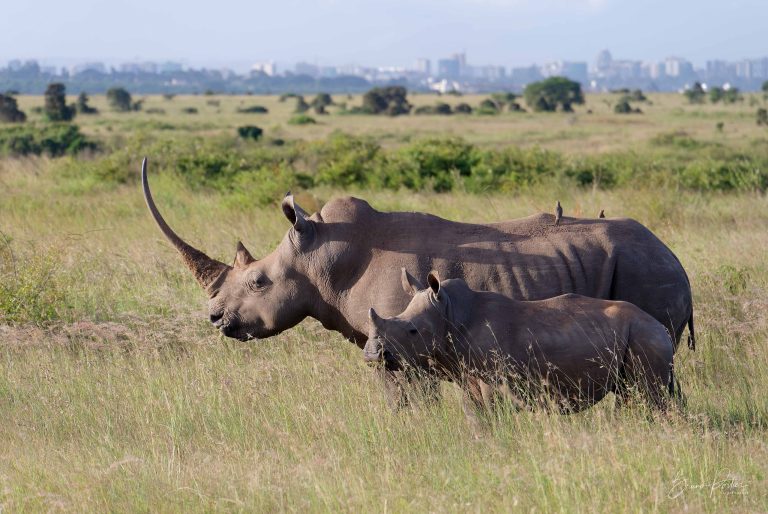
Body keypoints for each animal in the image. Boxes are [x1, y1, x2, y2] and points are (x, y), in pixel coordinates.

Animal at [364, 271, 675, 412]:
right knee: (630, 394)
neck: (449, 312)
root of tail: (660, 327)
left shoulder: (494, 375)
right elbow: (476, 414)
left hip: (644, 336)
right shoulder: (468, 374)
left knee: (648, 396)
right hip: (639, 336)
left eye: (412, 331)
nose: (371, 355)